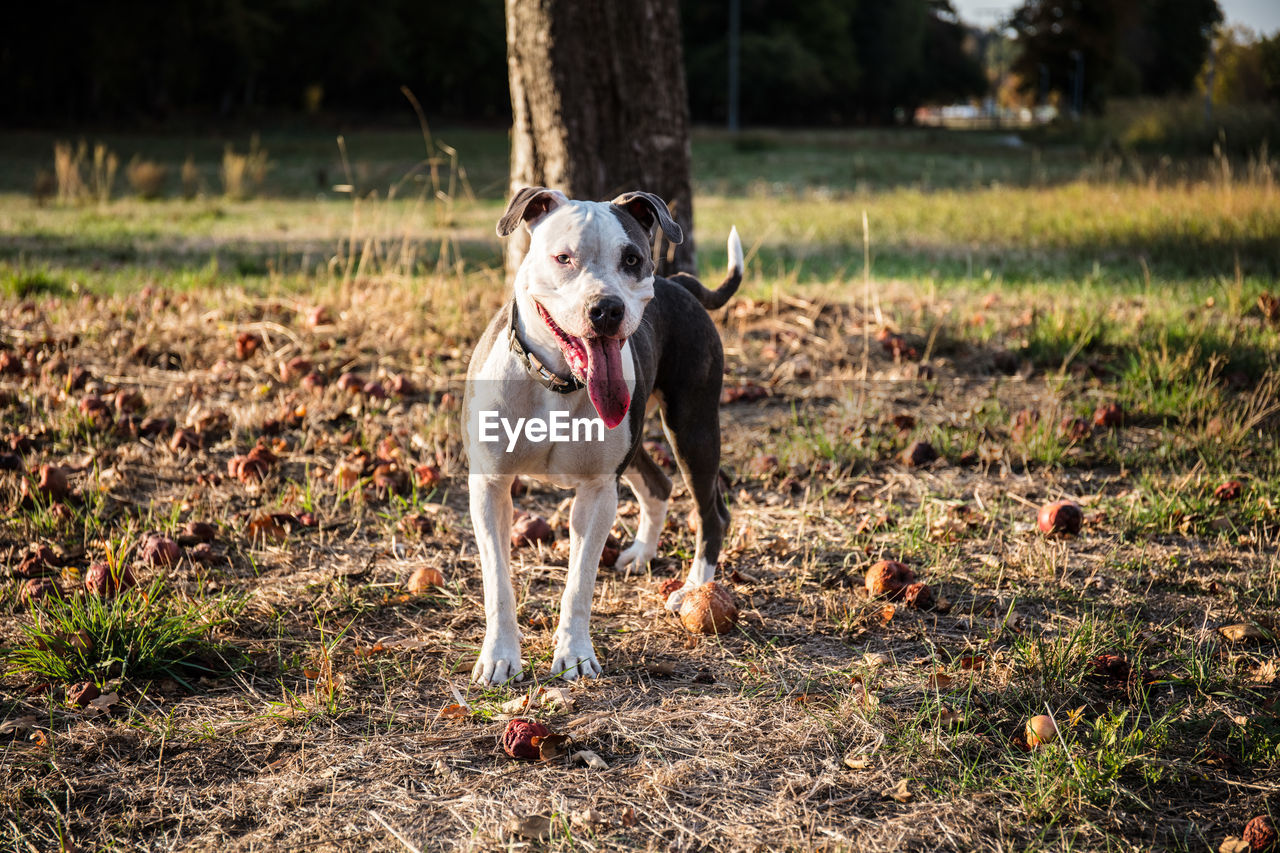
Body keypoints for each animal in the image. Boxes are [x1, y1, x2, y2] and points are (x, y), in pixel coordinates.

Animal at [463, 188, 747, 686]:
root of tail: (679, 283)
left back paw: (694, 588)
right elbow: (498, 582)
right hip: (637, 438)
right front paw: (499, 658)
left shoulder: (597, 491)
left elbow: (578, 584)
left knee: (711, 513)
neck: (558, 380)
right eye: (563, 258)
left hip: (693, 428)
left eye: (631, 259)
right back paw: (642, 553)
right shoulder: (490, 486)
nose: (607, 308)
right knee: (658, 483)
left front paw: (574, 655)